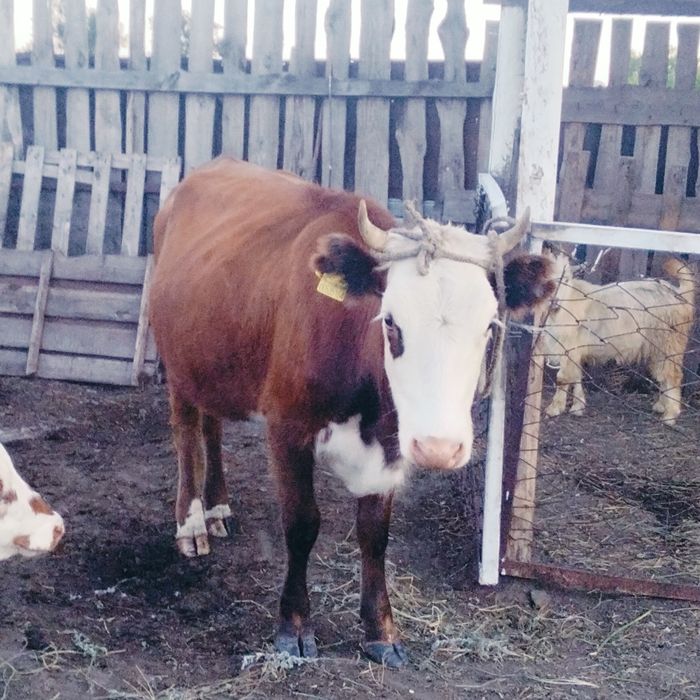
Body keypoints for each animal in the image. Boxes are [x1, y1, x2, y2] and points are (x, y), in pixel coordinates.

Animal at [149, 157, 555, 666]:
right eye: (391, 323)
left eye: (489, 325)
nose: (439, 448)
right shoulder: (288, 429)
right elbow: (302, 524)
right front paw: (294, 626)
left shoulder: (392, 444)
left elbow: (374, 533)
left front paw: (381, 630)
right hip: (177, 359)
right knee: (186, 429)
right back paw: (192, 523)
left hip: (217, 358)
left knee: (213, 424)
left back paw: (219, 507)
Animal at [538, 251, 696, 425]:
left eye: (565, 280)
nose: (554, 301)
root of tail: (679, 294)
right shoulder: (575, 350)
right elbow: (576, 376)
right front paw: (578, 407)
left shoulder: (568, 347)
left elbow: (563, 378)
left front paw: (554, 409)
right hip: (658, 347)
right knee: (663, 375)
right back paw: (661, 406)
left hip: (669, 343)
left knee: (673, 375)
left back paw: (670, 415)